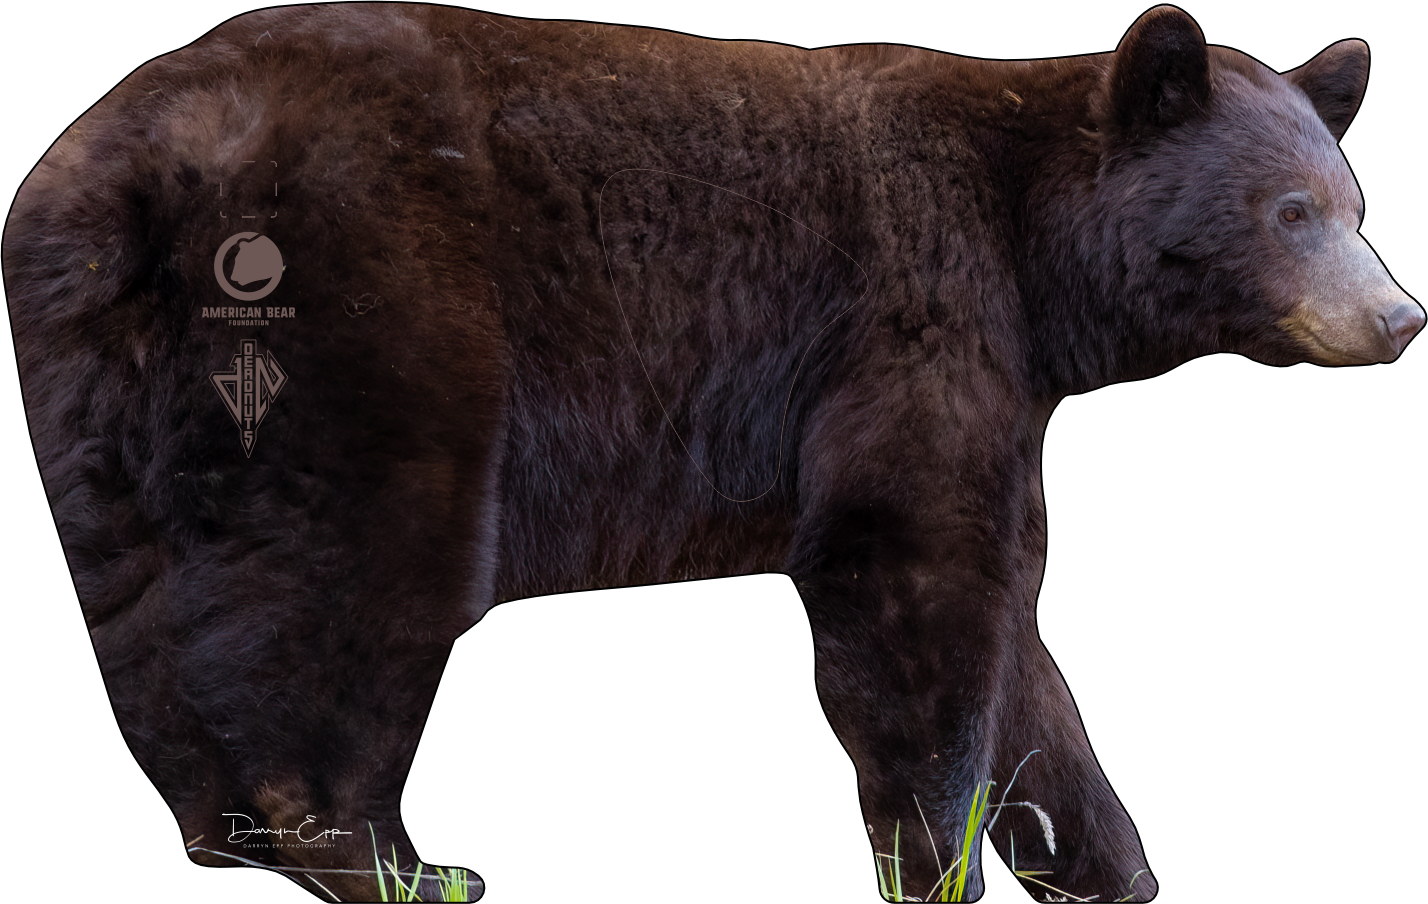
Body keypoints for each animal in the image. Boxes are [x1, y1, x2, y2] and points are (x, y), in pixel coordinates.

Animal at [2, 3, 1421, 902]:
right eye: (1292, 212)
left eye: (1360, 204)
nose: (1400, 315)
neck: (1031, 248)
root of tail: (111, 174)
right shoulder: (912, 320)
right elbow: (913, 581)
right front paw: (936, 860)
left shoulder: (997, 384)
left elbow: (1016, 628)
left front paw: (1110, 864)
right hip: (378, 304)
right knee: (366, 574)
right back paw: (401, 861)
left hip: (97, 374)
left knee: (146, 599)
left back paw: (239, 835)